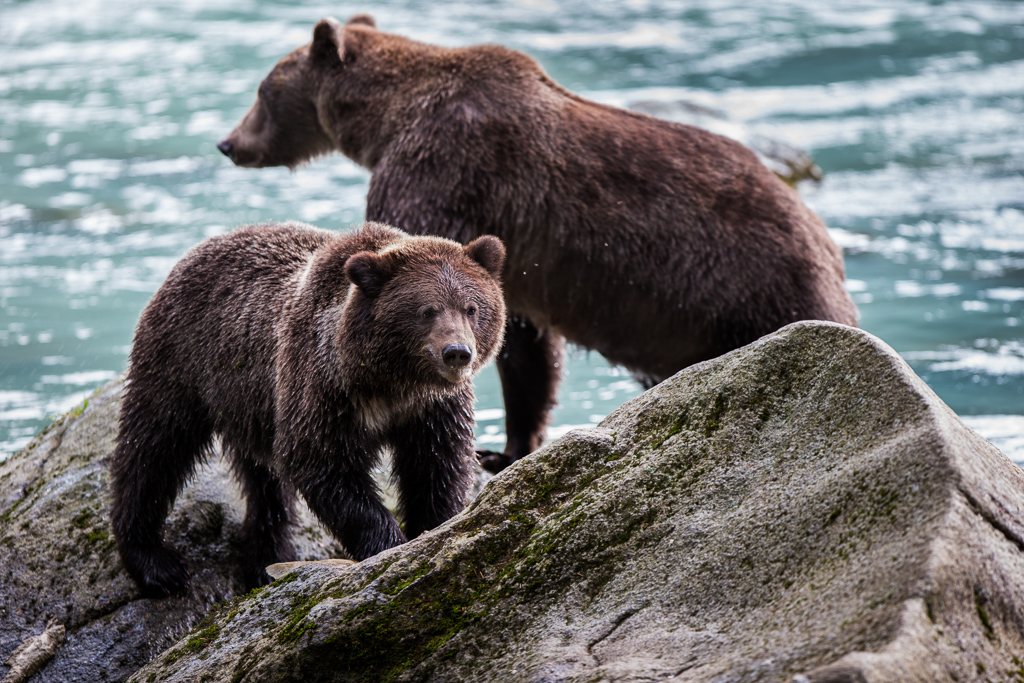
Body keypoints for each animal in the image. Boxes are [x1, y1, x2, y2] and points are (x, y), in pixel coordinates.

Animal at [109, 221, 506, 597]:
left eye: (472, 308)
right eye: (427, 310)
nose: (457, 352)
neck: (391, 382)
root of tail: (199, 248)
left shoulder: (432, 409)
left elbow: (437, 467)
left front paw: (435, 528)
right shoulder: (322, 387)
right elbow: (321, 463)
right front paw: (387, 543)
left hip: (252, 402)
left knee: (266, 488)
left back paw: (267, 559)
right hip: (182, 360)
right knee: (153, 448)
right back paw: (157, 564)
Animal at [217, 15, 859, 472]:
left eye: (262, 91)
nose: (228, 143)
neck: (389, 119)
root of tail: (825, 243)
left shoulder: (441, 173)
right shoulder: (519, 256)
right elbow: (525, 350)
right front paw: (506, 446)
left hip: (747, 289)